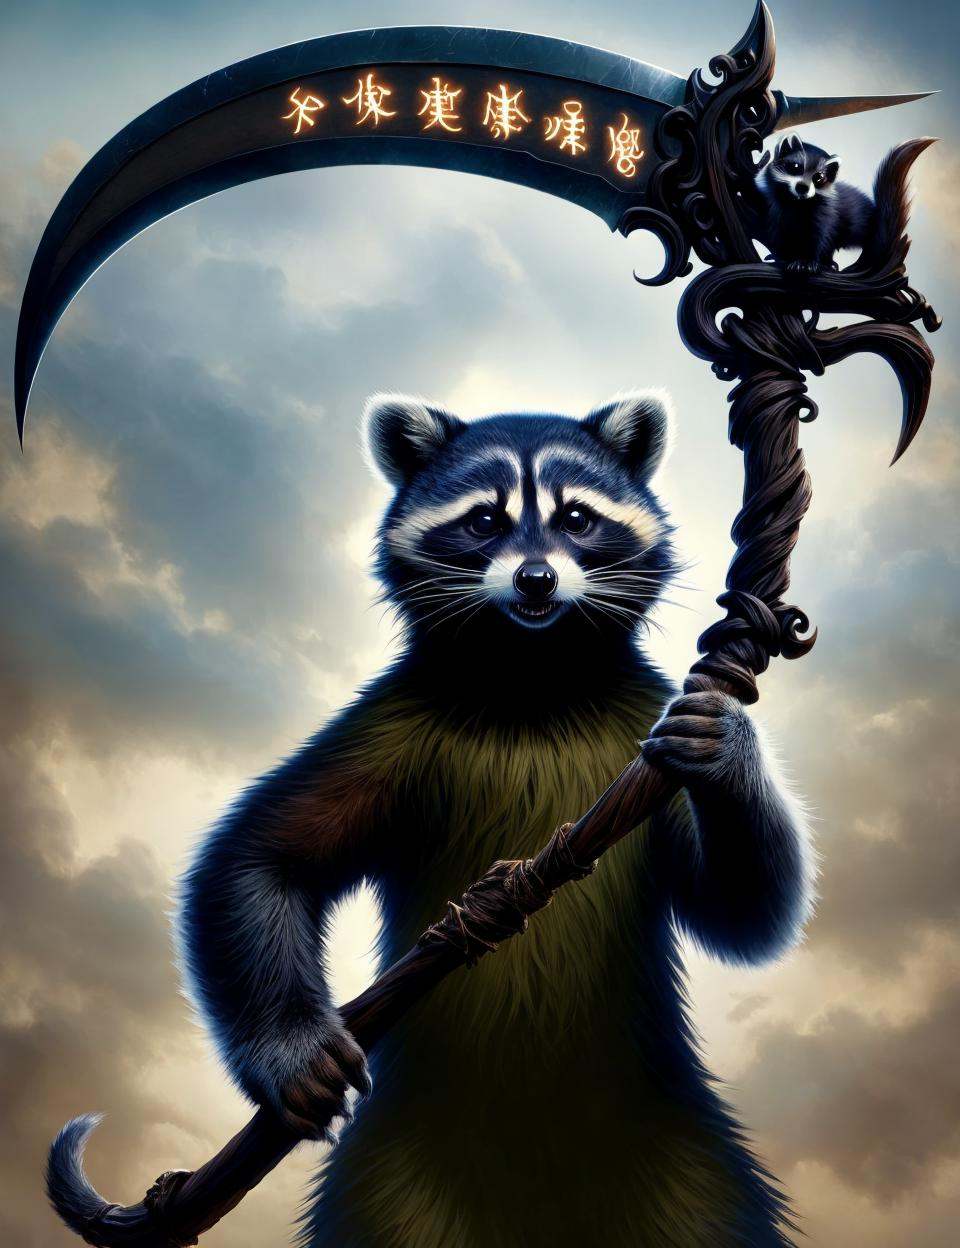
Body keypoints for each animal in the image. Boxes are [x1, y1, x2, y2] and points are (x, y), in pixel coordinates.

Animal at [170, 392, 814, 1246]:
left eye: (577, 517)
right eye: (483, 519)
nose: (536, 578)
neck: (528, 671)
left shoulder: (643, 728)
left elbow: (744, 913)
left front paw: (730, 752)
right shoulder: (392, 726)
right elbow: (258, 858)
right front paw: (289, 1046)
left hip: (695, 1181)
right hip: (390, 1194)